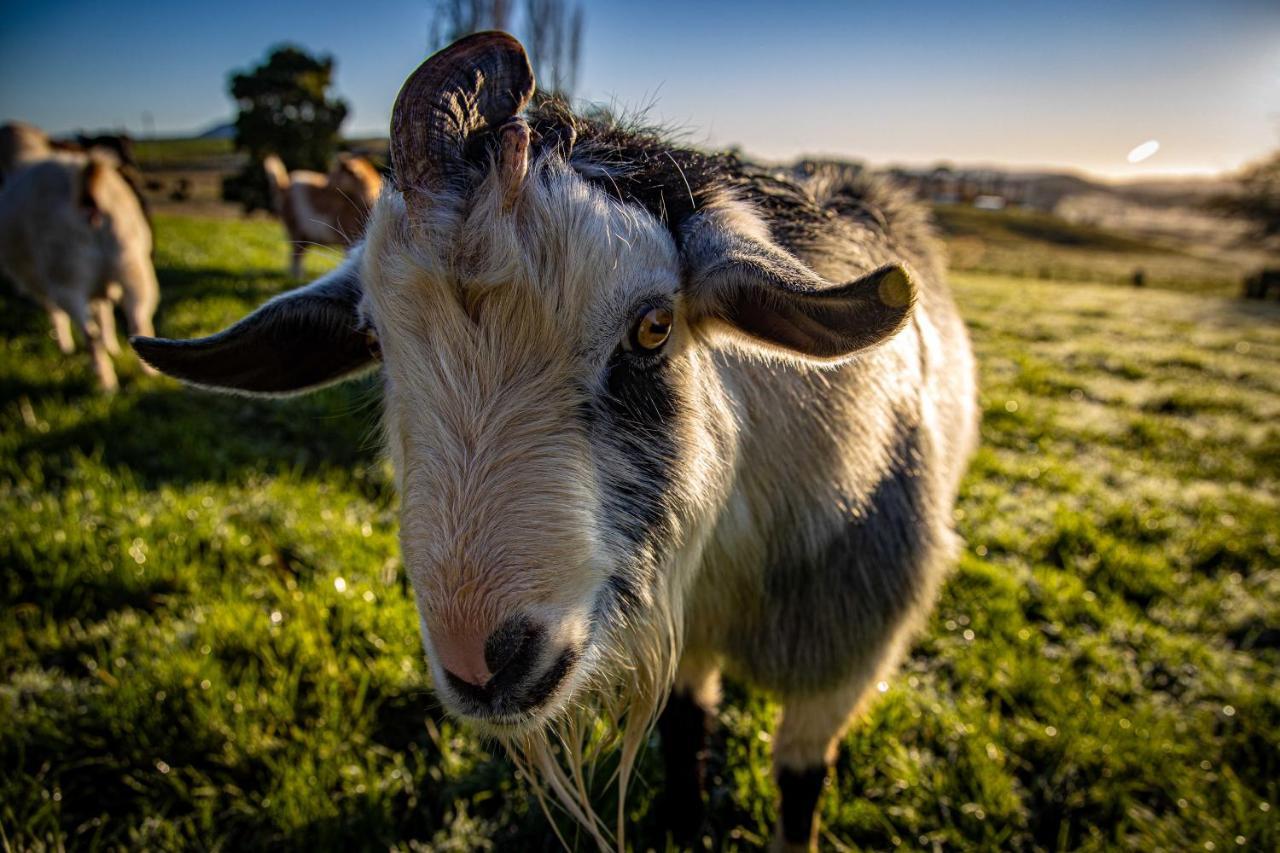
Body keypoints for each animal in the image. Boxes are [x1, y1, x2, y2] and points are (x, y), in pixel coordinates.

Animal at [132, 33, 977, 850]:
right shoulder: (678, 630)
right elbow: (685, 725)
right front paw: (681, 822)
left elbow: (799, 784)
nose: (483, 661)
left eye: (654, 326)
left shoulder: (843, 663)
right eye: (373, 340)